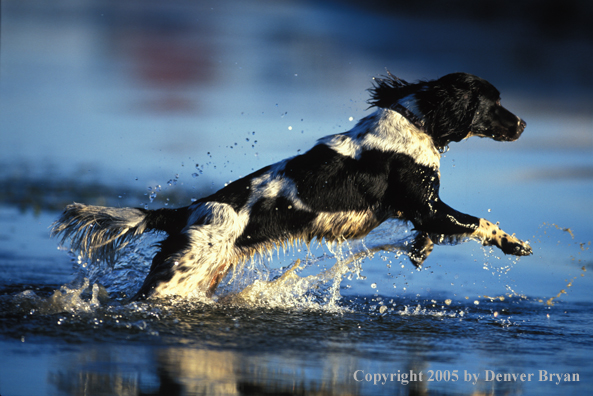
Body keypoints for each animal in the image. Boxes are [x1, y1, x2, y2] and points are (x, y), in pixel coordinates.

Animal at [52, 72, 532, 300]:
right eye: (494, 102)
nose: (524, 124)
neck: (416, 121)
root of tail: (187, 211)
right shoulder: (427, 204)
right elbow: (477, 222)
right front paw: (515, 244)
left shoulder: (420, 211)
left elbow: (435, 231)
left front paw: (421, 250)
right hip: (180, 275)